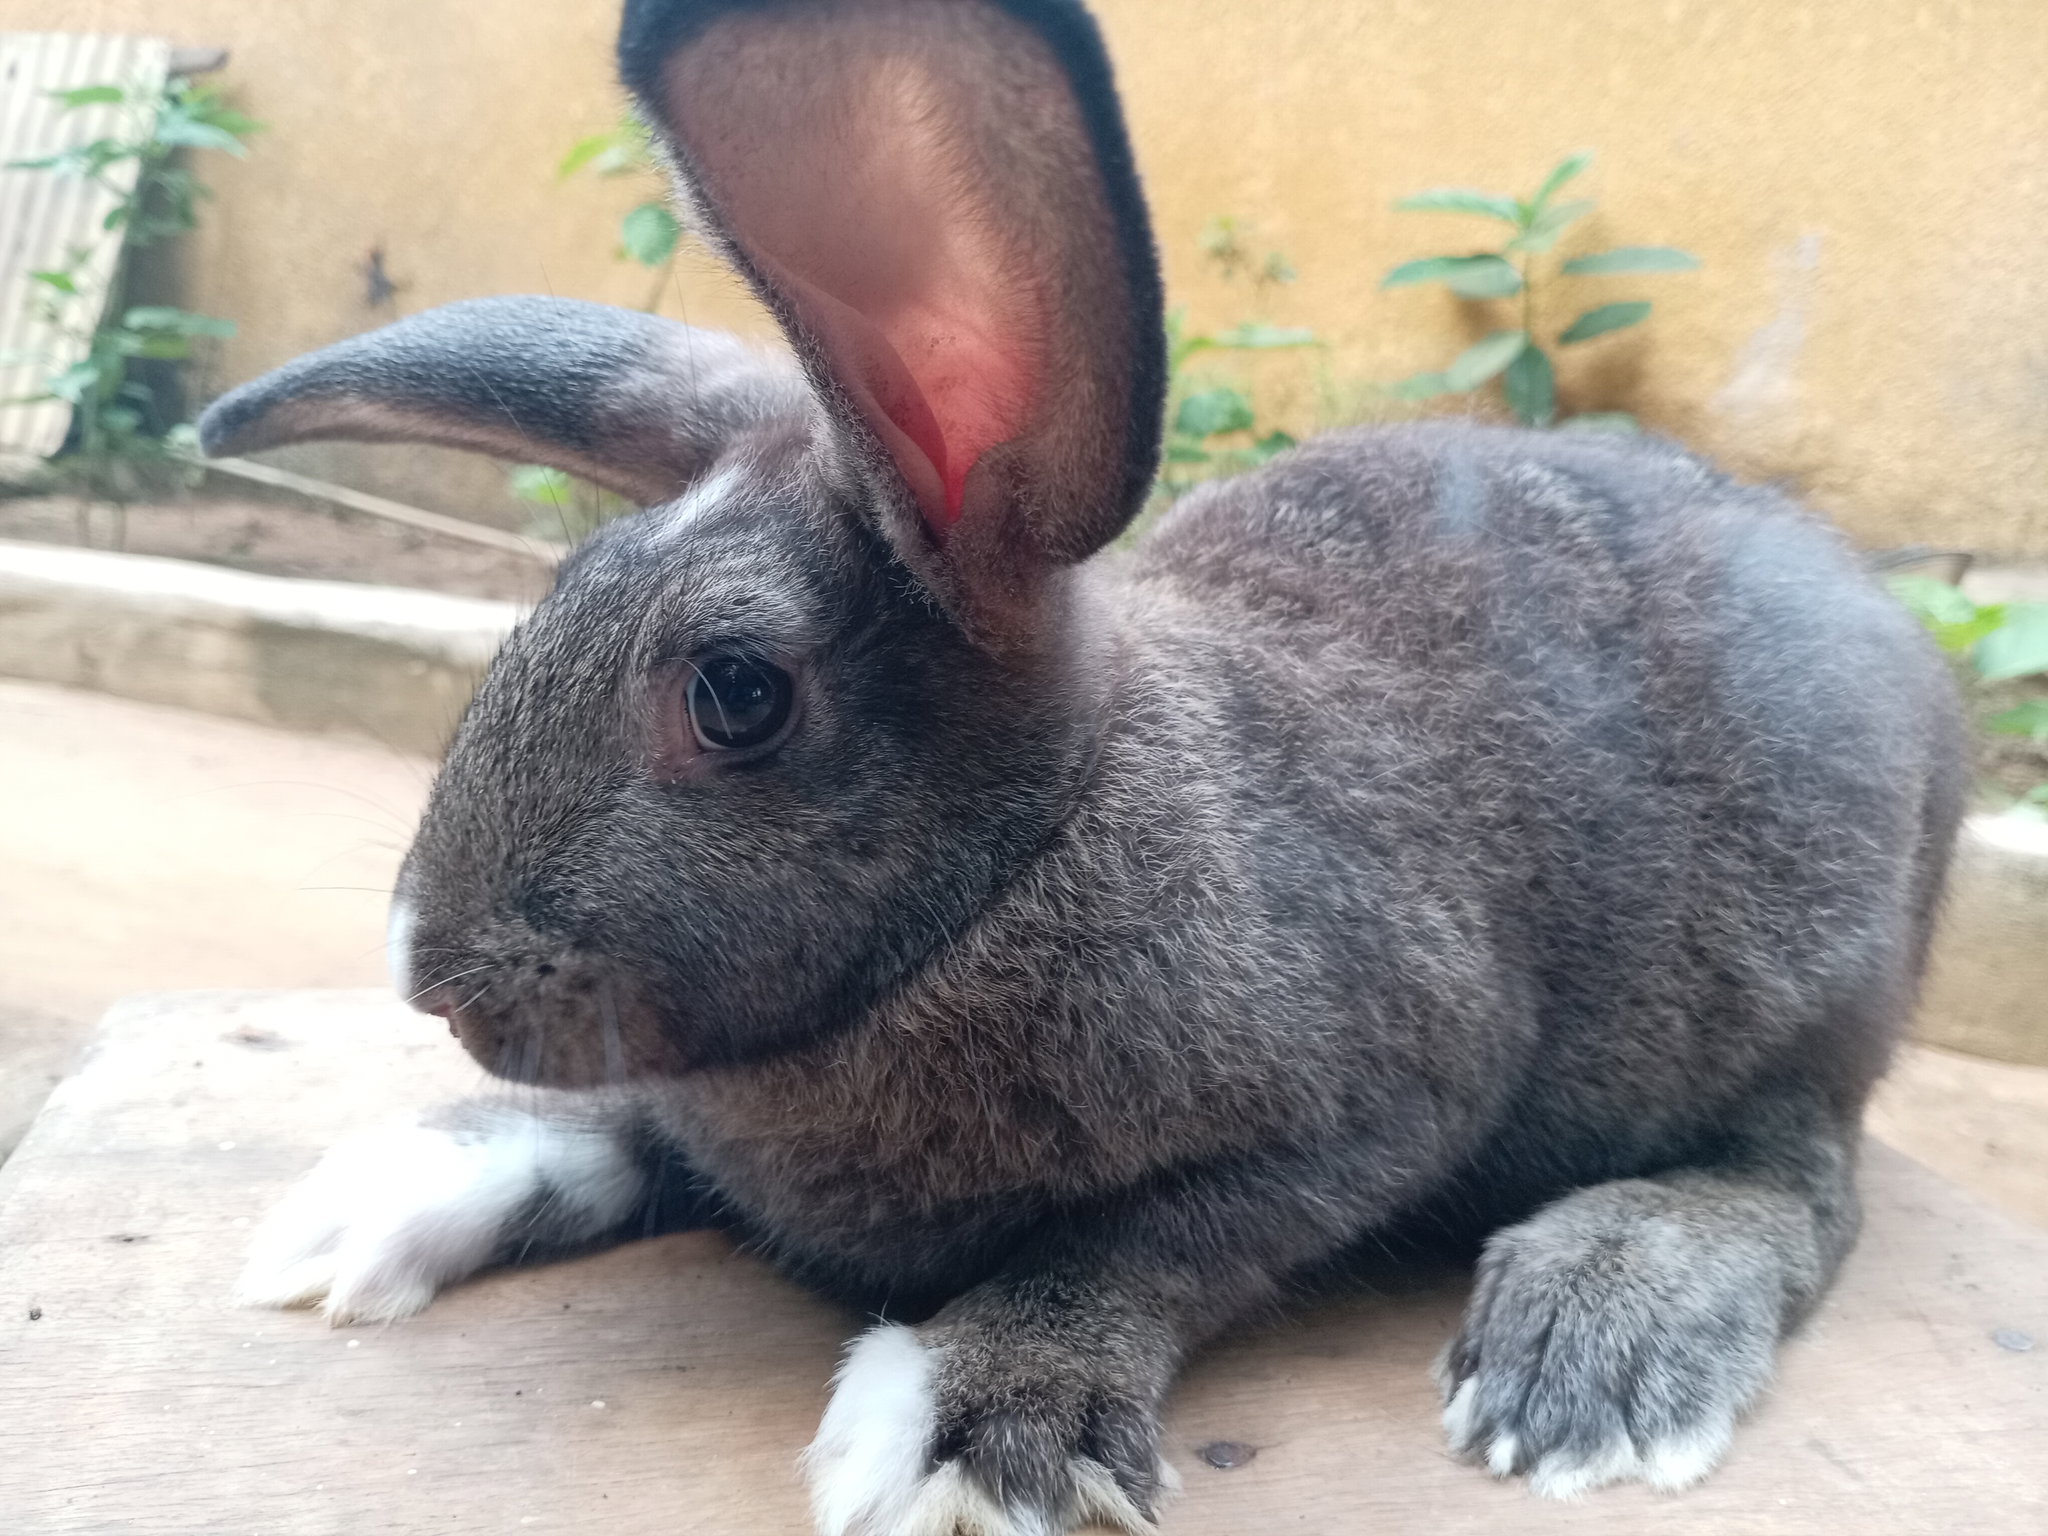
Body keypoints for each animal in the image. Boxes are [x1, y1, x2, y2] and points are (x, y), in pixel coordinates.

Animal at [202, 1, 1967, 1532]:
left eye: (735, 693)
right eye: (556, 596)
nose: (424, 967)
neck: (1033, 851)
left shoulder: (1374, 1105)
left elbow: (1148, 1245)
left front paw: (968, 1433)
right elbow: (634, 1133)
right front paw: (375, 1202)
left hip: (1797, 1001)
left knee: (1801, 1177)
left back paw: (1590, 1351)